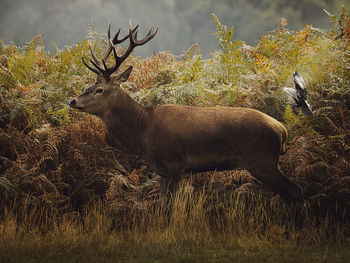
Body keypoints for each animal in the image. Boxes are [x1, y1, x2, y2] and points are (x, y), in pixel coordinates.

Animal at [69, 22, 304, 204]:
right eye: (90, 85)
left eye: (99, 89)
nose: (72, 101)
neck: (144, 131)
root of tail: (282, 129)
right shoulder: (162, 171)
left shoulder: (176, 164)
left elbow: (168, 207)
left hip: (262, 159)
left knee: (295, 190)